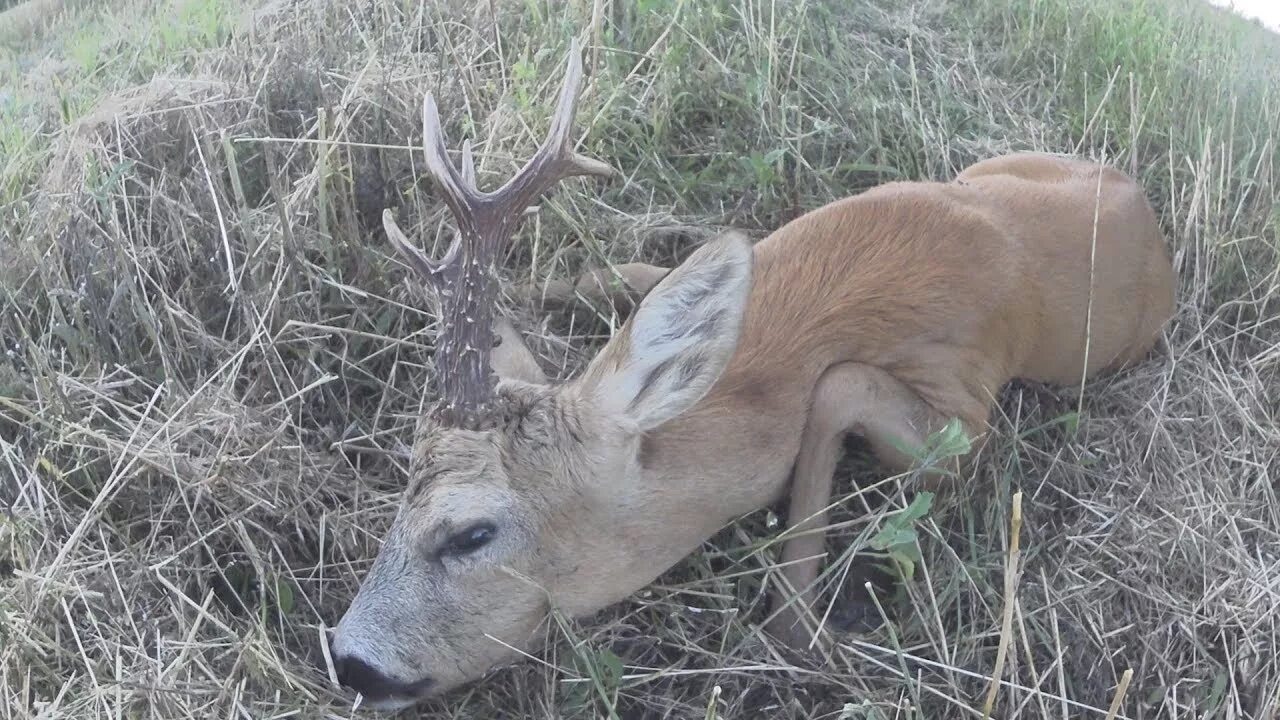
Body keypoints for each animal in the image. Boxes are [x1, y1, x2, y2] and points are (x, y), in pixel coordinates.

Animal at [332, 40, 1177, 707]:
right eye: (398, 492)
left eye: (471, 532)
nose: (348, 662)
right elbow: (626, 269)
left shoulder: (966, 416)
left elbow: (837, 388)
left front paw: (792, 631)